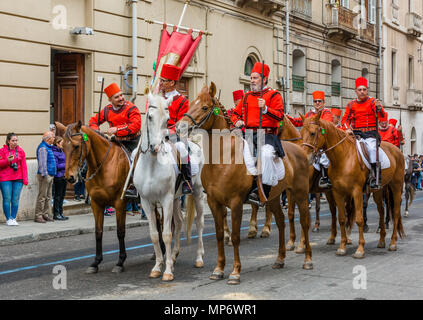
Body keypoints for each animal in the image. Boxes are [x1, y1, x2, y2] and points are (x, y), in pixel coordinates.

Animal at [56, 120, 129, 272]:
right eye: (62, 146)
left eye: (76, 146)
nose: (69, 177)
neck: (104, 166)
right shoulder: (96, 204)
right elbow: (98, 232)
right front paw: (96, 262)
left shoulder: (120, 203)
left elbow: (120, 231)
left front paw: (120, 262)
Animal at [133, 92, 205, 280]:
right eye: (150, 117)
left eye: (167, 120)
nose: (156, 147)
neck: (152, 164)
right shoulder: (147, 201)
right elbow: (154, 235)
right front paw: (158, 266)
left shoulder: (165, 199)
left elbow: (166, 234)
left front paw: (167, 272)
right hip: (176, 199)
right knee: (179, 223)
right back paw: (173, 256)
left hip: (197, 193)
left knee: (199, 222)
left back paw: (199, 258)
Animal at [181, 83, 314, 284]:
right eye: (190, 104)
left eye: (204, 107)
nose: (181, 125)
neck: (222, 157)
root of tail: (300, 149)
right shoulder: (214, 202)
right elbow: (219, 235)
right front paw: (219, 269)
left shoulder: (235, 202)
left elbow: (236, 236)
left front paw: (235, 272)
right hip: (274, 196)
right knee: (281, 222)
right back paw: (279, 259)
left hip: (299, 193)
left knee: (305, 221)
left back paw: (307, 259)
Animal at [300, 112, 406, 258]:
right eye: (301, 133)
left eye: (312, 133)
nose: (304, 157)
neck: (343, 157)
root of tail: (397, 150)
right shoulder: (338, 192)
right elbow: (342, 218)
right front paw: (342, 247)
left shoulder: (356, 192)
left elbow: (359, 219)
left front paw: (360, 249)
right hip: (379, 190)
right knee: (381, 210)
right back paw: (381, 240)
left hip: (396, 186)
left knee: (395, 212)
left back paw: (393, 243)